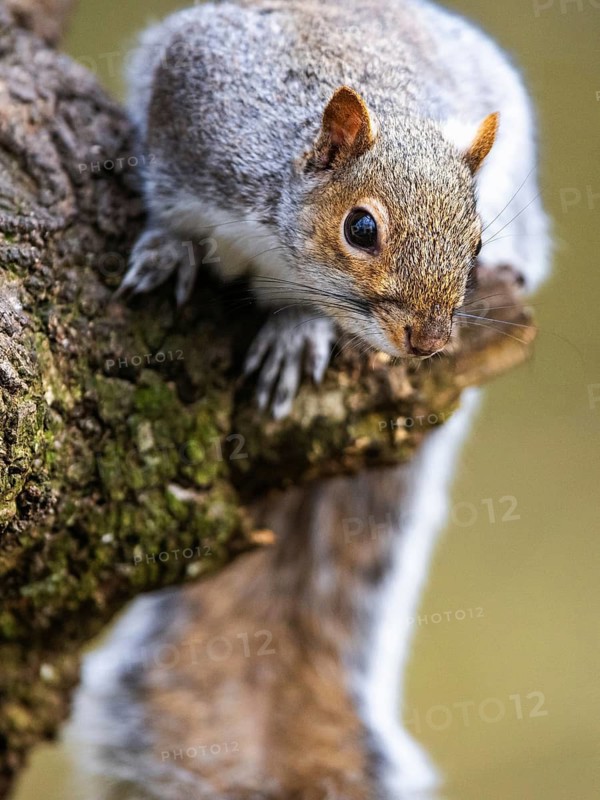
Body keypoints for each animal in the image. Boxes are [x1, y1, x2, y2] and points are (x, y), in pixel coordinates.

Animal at [118, 0, 549, 419]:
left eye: (477, 246)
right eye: (361, 229)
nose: (429, 341)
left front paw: (295, 331)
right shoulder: (194, 109)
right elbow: (168, 201)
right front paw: (170, 247)